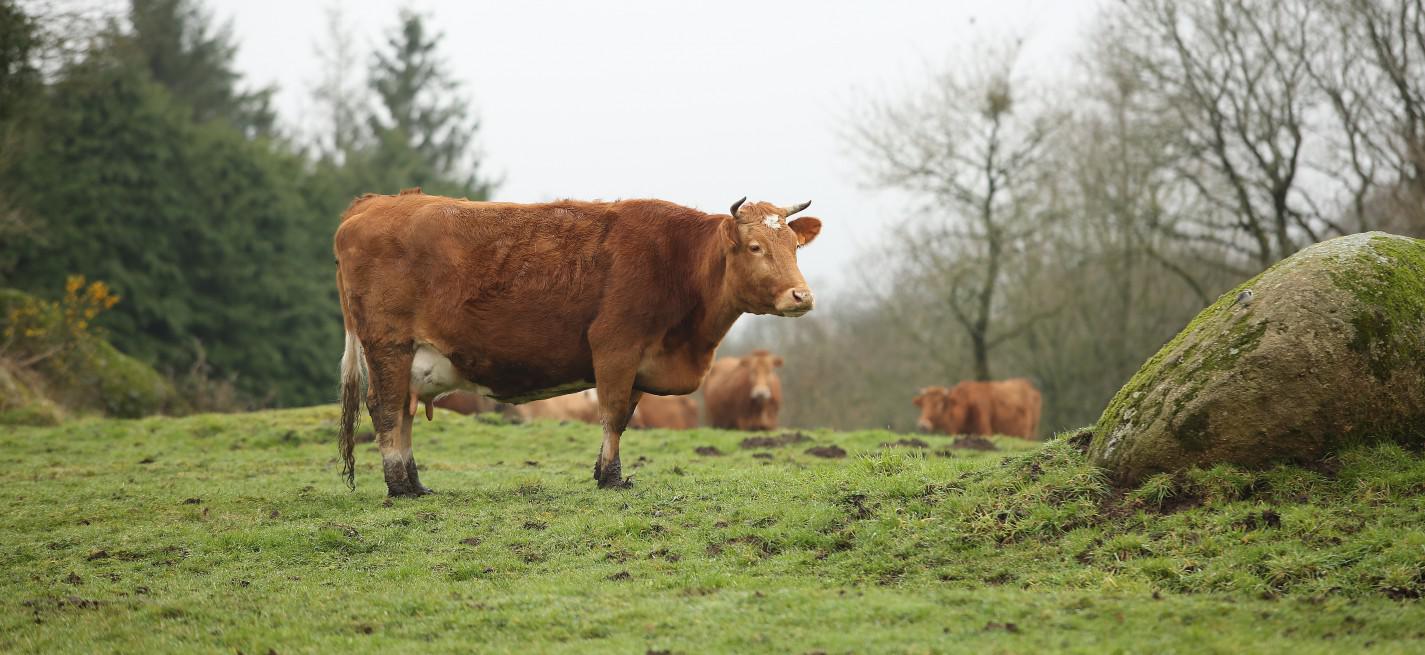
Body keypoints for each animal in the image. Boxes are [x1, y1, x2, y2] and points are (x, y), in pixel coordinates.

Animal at [334, 189, 826, 489]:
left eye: (794, 247)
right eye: (755, 247)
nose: (801, 296)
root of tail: (373, 204)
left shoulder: (639, 365)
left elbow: (624, 417)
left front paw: (604, 472)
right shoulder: (615, 347)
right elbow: (612, 416)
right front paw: (610, 478)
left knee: (403, 411)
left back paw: (416, 482)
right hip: (389, 346)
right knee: (385, 410)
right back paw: (399, 485)